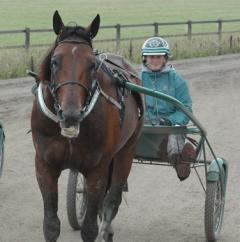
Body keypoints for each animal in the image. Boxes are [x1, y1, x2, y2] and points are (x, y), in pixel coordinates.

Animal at [31, 10, 143, 241]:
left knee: (111, 200)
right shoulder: (44, 165)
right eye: (55, 61)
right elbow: (51, 225)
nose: (71, 114)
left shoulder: (96, 169)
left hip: (126, 150)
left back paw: (106, 230)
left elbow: (90, 227)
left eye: (92, 64)